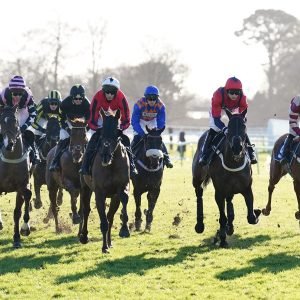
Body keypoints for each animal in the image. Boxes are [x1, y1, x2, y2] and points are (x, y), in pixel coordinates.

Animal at [79, 108, 131, 253]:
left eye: (117, 132)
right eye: (101, 133)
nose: (105, 156)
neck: (111, 164)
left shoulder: (121, 188)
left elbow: (123, 200)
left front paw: (124, 229)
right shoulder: (99, 193)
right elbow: (103, 222)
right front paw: (104, 247)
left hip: (113, 197)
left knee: (110, 216)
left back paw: (110, 242)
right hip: (85, 188)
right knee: (86, 210)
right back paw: (84, 237)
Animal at [192, 111, 260, 247]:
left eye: (244, 126)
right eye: (229, 127)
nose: (237, 148)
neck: (233, 163)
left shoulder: (247, 189)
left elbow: (251, 217)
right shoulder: (219, 192)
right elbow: (222, 217)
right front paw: (222, 238)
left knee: (229, 201)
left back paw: (230, 226)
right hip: (197, 177)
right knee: (199, 193)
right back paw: (200, 225)